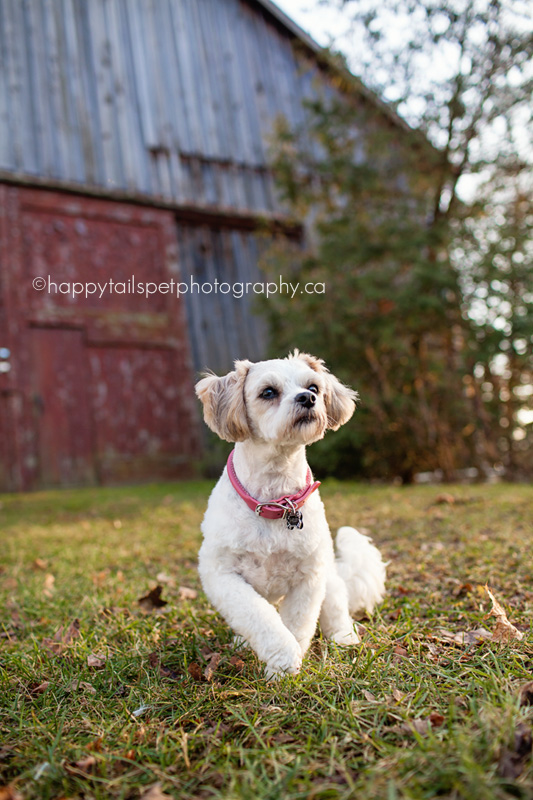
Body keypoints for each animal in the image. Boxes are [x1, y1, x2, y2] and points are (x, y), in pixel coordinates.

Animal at [193, 350, 384, 676]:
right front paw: (283, 657)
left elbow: (298, 623)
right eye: (268, 392)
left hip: (330, 581)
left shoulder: (309, 577)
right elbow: (257, 616)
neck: (276, 500)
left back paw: (344, 638)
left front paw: (287, 663)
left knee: (336, 610)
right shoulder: (222, 575)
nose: (307, 398)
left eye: (314, 387)